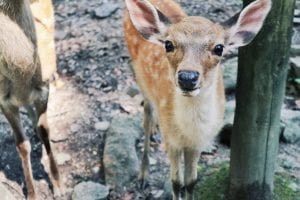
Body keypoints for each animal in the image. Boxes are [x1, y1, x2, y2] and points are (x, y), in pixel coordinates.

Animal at [0, 0, 60, 198]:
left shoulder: (44, 90)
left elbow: (45, 131)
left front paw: (58, 186)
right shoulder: (4, 102)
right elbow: (22, 145)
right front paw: (32, 194)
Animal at [124, 0, 272, 198]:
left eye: (219, 48)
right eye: (168, 44)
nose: (187, 77)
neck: (189, 132)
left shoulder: (198, 143)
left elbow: (191, 182)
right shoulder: (170, 139)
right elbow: (176, 183)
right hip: (139, 76)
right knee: (147, 111)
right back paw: (143, 175)